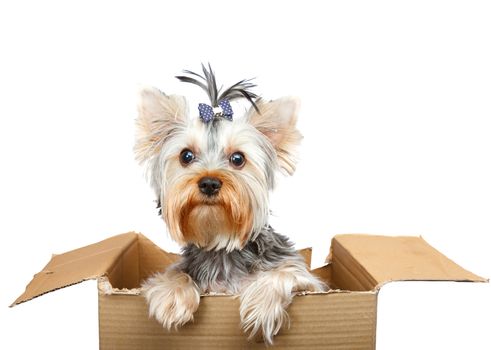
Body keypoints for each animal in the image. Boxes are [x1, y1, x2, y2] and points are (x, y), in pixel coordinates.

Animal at [135, 65, 326, 344]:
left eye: (238, 159)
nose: (209, 183)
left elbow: (284, 272)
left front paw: (261, 305)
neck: (221, 246)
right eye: (186, 156)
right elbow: (175, 272)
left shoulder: (310, 282)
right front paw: (172, 295)